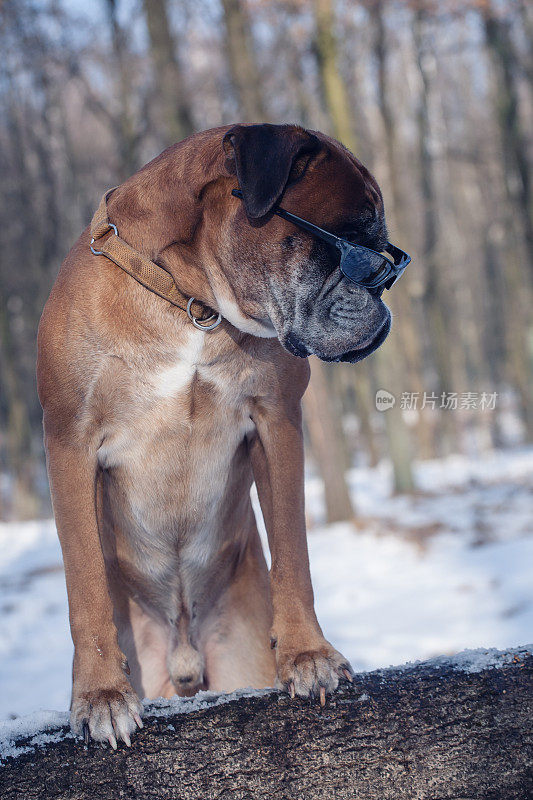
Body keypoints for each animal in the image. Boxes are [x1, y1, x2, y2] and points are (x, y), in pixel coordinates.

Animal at [36, 122, 394, 748]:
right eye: (352, 242)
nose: (386, 284)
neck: (188, 301)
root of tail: (184, 655)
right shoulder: (69, 443)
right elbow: (83, 584)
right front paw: (100, 694)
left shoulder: (276, 420)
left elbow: (293, 551)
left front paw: (308, 654)